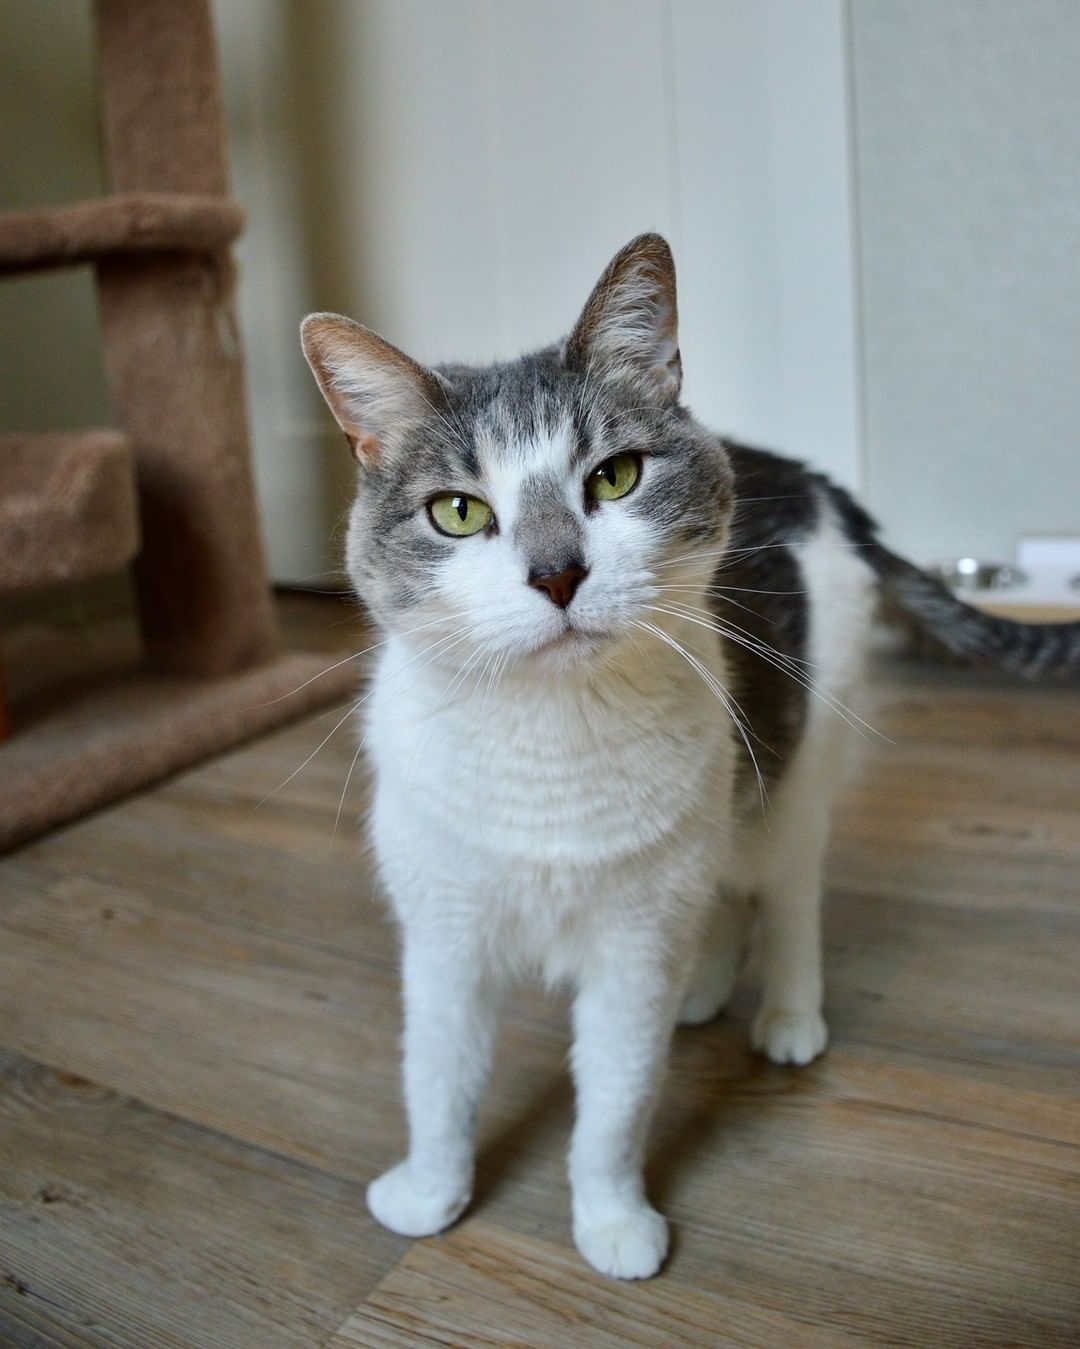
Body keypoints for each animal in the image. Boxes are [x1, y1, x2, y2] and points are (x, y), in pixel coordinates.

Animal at [296, 234, 1078, 1284]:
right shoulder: (446, 936)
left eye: (615, 477)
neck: (548, 745)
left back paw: (785, 1017)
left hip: (791, 778)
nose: (557, 573)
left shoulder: (632, 945)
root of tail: (812, 477)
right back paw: (703, 991)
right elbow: (438, 1078)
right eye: (457, 512)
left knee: (786, 896)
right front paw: (430, 1193)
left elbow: (615, 1103)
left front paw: (614, 1222)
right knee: (724, 902)